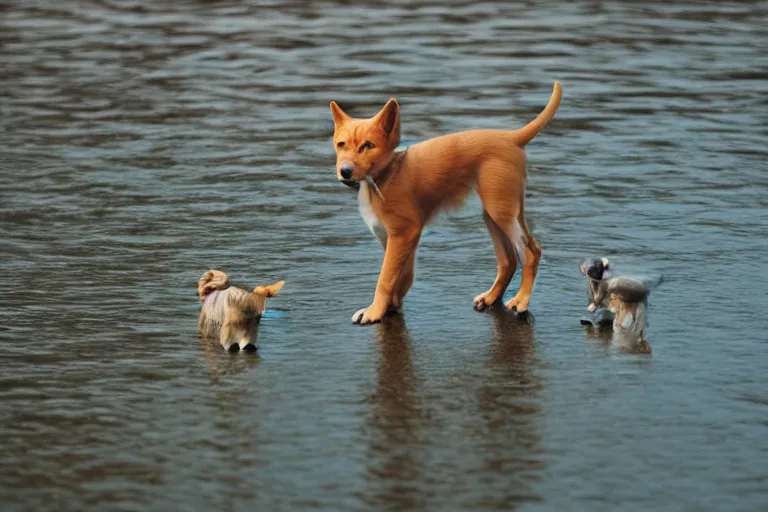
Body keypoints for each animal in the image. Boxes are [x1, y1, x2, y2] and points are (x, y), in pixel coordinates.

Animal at [328, 83, 560, 324]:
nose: (345, 171)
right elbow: (402, 274)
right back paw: (490, 297)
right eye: (341, 144)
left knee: (531, 252)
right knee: (509, 259)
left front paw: (374, 311)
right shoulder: (393, 236)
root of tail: (511, 137)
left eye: (368, 145)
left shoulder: (404, 233)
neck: (387, 174)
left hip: (501, 211)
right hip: (495, 211)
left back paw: (521, 301)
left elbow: (386, 277)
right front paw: (391, 305)